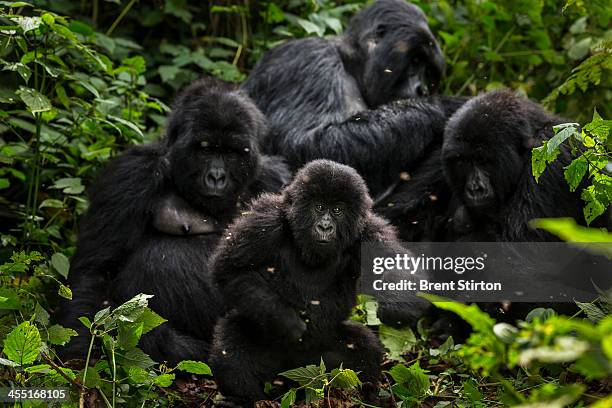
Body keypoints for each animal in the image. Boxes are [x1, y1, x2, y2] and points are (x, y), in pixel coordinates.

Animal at [59, 78, 292, 362]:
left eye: (232, 152)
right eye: (205, 149)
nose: (216, 177)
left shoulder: (276, 179)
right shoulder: (131, 174)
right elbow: (96, 269)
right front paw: (80, 353)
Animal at [208, 161, 408, 406]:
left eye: (338, 210)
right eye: (319, 207)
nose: (325, 227)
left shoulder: (370, 233)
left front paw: (397, 308)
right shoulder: (265, 220)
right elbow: (231, 269)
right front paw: (286, 321)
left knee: (364, 346)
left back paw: (368, 396)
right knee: (232, 340)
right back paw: (240, 399)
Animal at [241, 0, 466, 236]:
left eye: (429, 72)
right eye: (414, 61)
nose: (423, 89)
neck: (351, 63)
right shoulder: (308, 58)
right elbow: (309, 145)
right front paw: (446, 106)